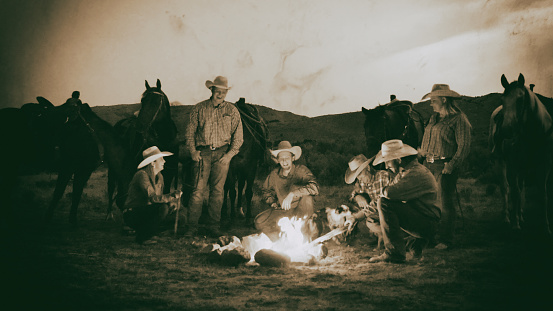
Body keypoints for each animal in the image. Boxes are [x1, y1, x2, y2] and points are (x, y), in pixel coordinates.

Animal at [221, 98, 270, 228]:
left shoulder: (251, 168)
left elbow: (248, 192)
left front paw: (248, 217)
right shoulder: (231, 169)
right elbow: (232, 192)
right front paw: (231, 218)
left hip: (242, 171)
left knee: (241, 186)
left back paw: (240, 210)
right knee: (226, 188)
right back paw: (224, 212)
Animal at [488, 74, 552, 238]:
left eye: (520, 99)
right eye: (503, 100)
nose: (505, 130)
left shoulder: (545, 165)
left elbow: (543, 194)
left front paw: (545, 227)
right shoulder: (513, 165)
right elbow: (515, 192)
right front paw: (515, 225)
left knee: (521, 187)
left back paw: (521, 214)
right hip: (500, 162)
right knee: (506, 188)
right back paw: (507, 217)